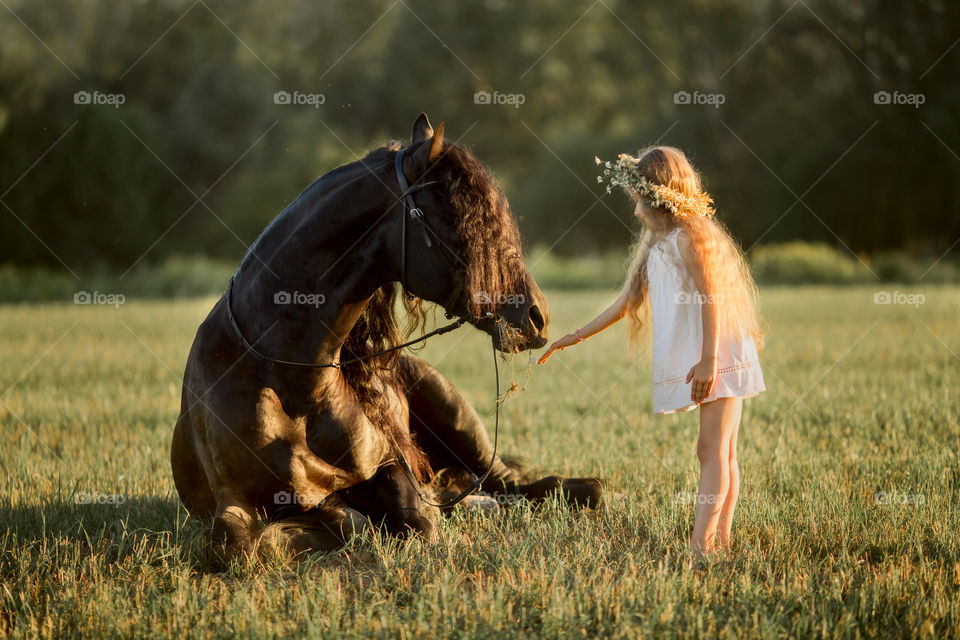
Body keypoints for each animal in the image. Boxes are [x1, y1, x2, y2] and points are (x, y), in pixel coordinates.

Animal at [171, 113, 604, 562]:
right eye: (460, 218)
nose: (538, 316)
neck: (287, 380)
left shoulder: (389, 464)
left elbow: (412, 520)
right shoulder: (232, 501)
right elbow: (243, 543)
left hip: (462, 424)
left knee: (533, 485)